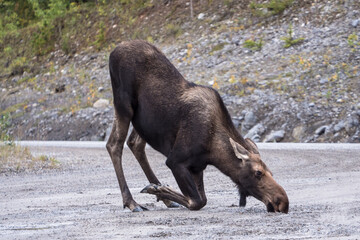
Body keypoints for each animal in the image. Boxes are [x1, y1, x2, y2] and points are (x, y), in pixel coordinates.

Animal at [105, 39, 288, 214]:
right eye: (258, 172)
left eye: (271, 171)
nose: (283, 202)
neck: (214, 152)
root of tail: (113, 51)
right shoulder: (175, 160)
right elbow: (197, 201)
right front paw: (157, 189)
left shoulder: (197, 167)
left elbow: (202, 199)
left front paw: (159, 189)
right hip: (123, 105)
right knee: (114, 144)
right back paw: (131, 202)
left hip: (142, 122)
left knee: (134, 143)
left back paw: (164, 199)